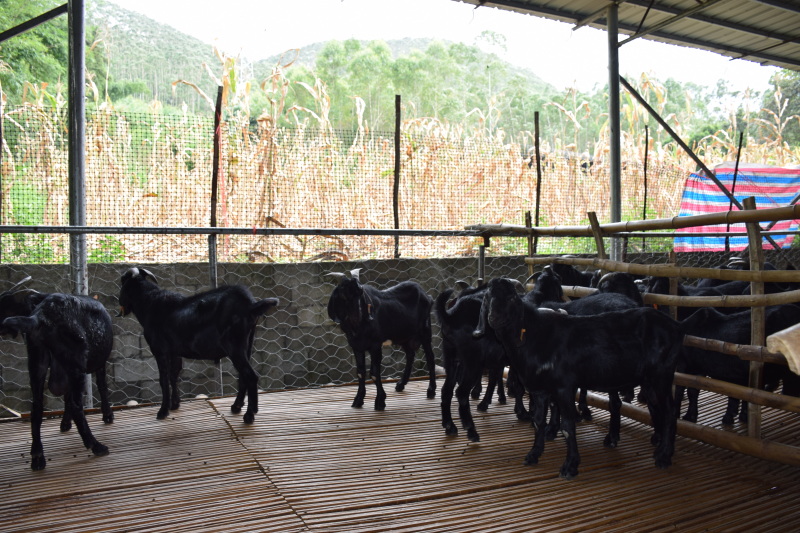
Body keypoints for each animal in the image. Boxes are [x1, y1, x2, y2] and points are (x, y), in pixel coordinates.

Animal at [0, 290, 114, 470]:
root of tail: (41, 317)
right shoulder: (98, 364)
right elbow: (102, 387)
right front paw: (108, 415)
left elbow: (66, 398)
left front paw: (65, 423)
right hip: (76, 368)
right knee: (77, 407)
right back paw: (95, 445)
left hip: (37, 363)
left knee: (37, 407)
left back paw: (38, 456)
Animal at [117, 268, 280, 422]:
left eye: (122, 282)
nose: (120, 306)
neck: (150, 303)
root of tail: (250, 305)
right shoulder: (175, 352)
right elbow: (174, 375)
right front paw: (175, 405)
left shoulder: (159, 350)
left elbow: (163, 379)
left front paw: (163, 411)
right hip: (247, 345)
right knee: (243, 376)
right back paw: (236, 406)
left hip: (235, 347)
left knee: (250, 376)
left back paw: (249, 415)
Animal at [326, 268, 438, 410]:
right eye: (344, 294)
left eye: (360, 293)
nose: (359, 316)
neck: (357, 328)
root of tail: (427, 296)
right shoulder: (356, 346)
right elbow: (360, 372)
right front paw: (358, 400)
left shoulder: (375, 345)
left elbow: (374, 372)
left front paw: (380, 402)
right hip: (405, 337)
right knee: (410, 355)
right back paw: (400, 385)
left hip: (425, 331)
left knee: (430, 358)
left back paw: (431, 391)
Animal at [478, 276, 680, 480]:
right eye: (487, 298)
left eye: (512, 298)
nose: (495, 318)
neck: (533, 336)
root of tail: (675, 327)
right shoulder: (539, 389)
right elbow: (538, 421)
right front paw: (534, 454)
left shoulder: (564, 387)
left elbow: (567, 426)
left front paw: (570, 466)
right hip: (649, 378)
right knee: (655, 406)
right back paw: (659, 448)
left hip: (662, 373)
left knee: (670, 411)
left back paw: (663, 456)